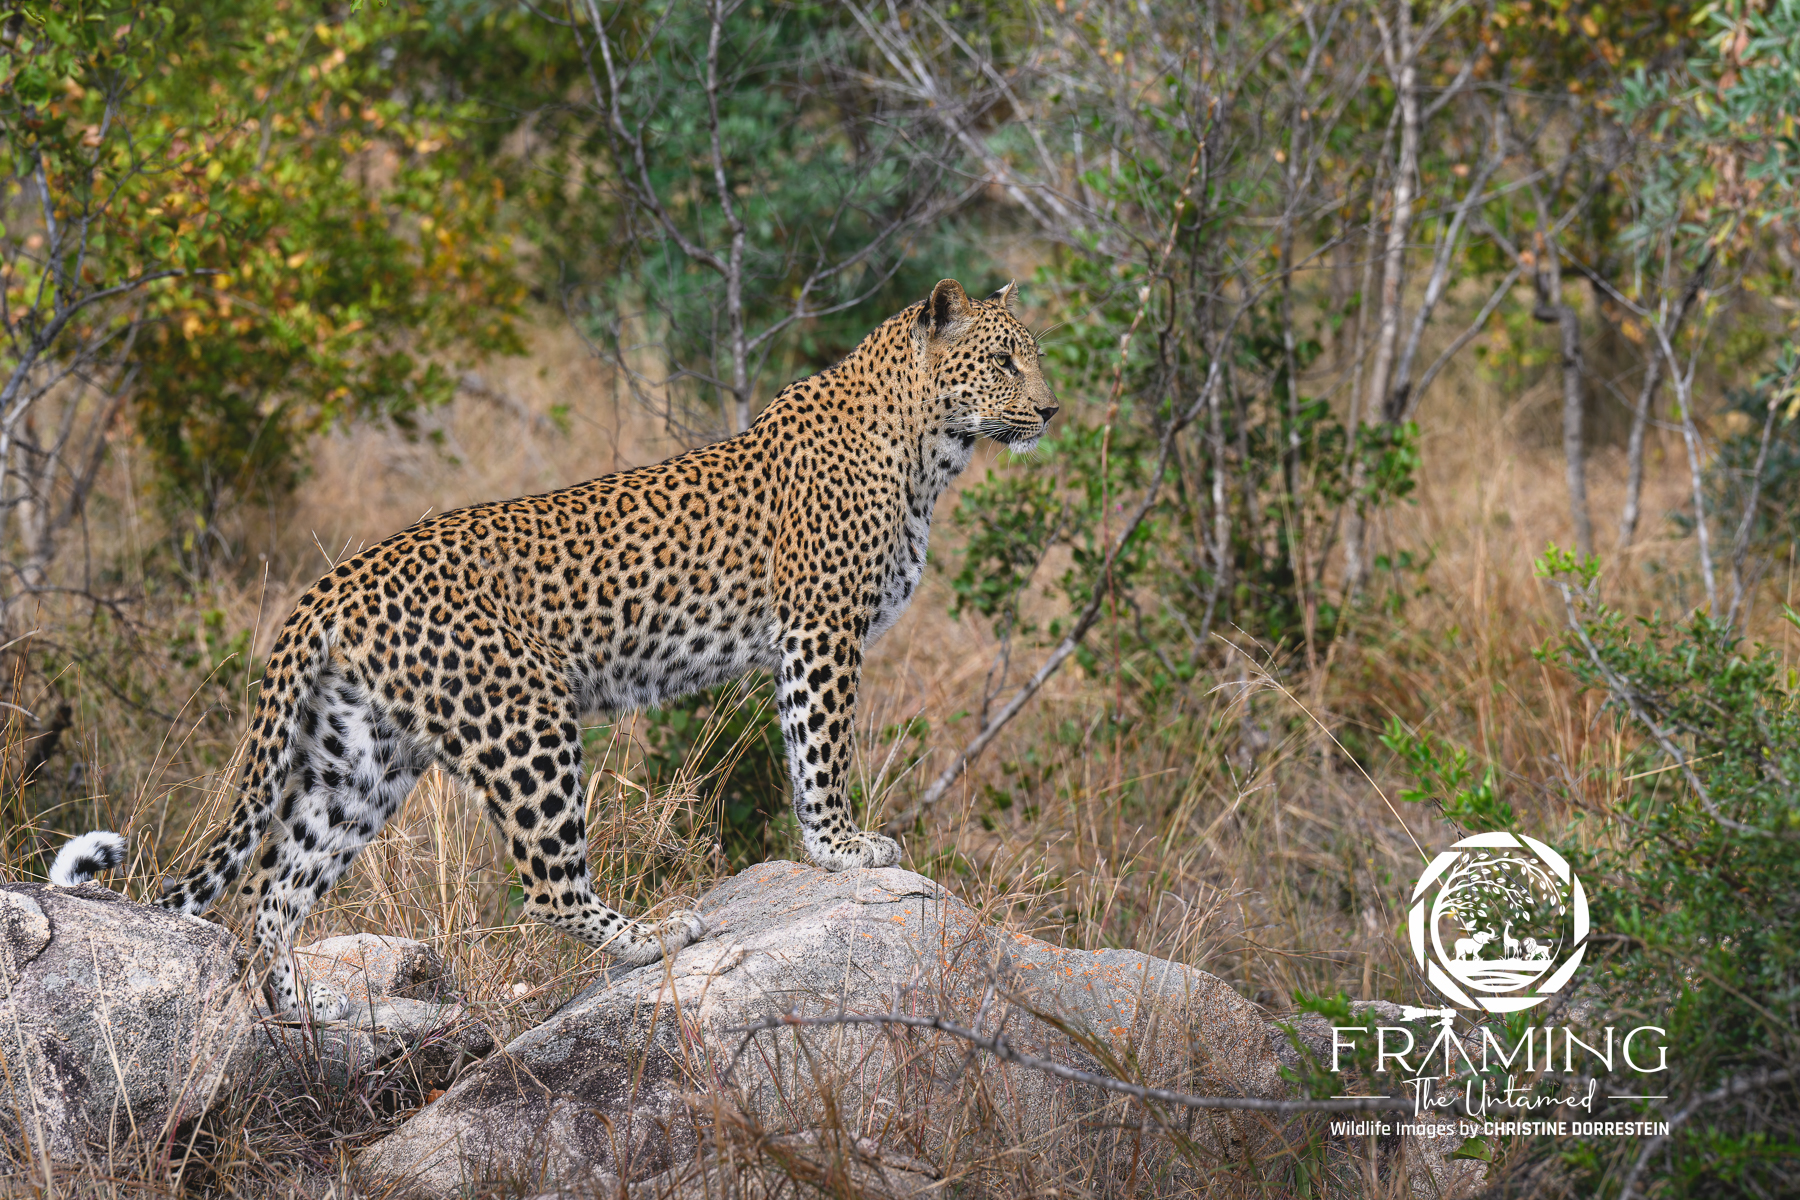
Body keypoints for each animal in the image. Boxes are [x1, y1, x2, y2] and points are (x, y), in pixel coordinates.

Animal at [51, 278, 1059, 1019]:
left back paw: (303, 1010)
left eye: (1034, 354)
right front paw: (843, 849)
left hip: (362, 756)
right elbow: (821, 752)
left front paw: (836, 848)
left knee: (275, 883)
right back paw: (655, 937)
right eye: (1003, 358)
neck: (930, 449)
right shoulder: (821, 630)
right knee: (544, 882)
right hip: (525, 716)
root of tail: (335, 582)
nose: (1050, 410)